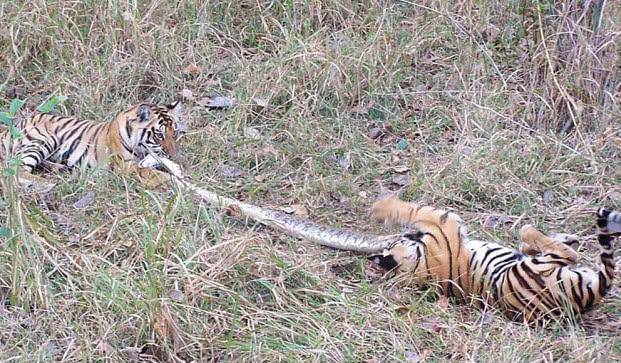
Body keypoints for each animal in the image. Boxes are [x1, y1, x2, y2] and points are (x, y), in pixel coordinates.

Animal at [1, 101, 188, 189]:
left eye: (175, 133)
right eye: (159, 135)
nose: (174, 155)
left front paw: (176, 168)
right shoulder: (126, 168)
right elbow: (160, 175)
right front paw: (182, 184)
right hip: (42, 140)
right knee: (14, 172)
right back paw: (49, 184)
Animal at [182, 183, 616, 326]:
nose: (400, 241)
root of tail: (589, 295)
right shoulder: (445, 223)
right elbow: (415, 208)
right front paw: (382, 208)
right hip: (545, 268)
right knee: (559, 250)